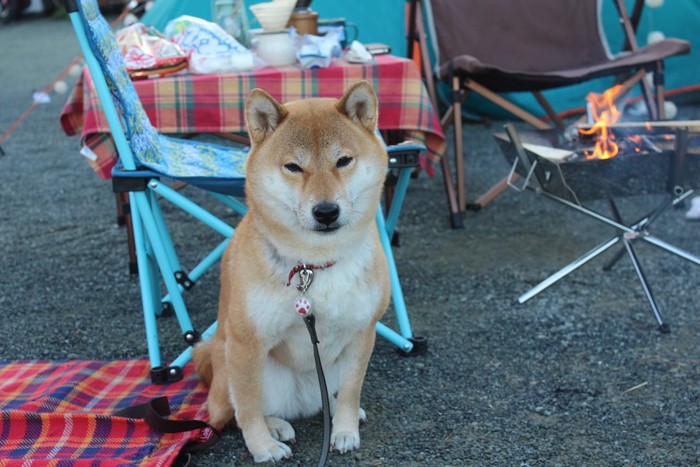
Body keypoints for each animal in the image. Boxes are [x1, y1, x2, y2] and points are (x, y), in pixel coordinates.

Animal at [194, 81, 392, 464]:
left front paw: (345, 429)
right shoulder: (247, 342)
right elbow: (248, 407)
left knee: (331, 396)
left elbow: (351, 391)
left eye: (343, 161)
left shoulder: (363, 331)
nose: (326, 211)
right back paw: (275, 427)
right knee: (237, 409)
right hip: (239, 367)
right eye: (293, 167)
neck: (313, 266)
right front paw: (262, 446)